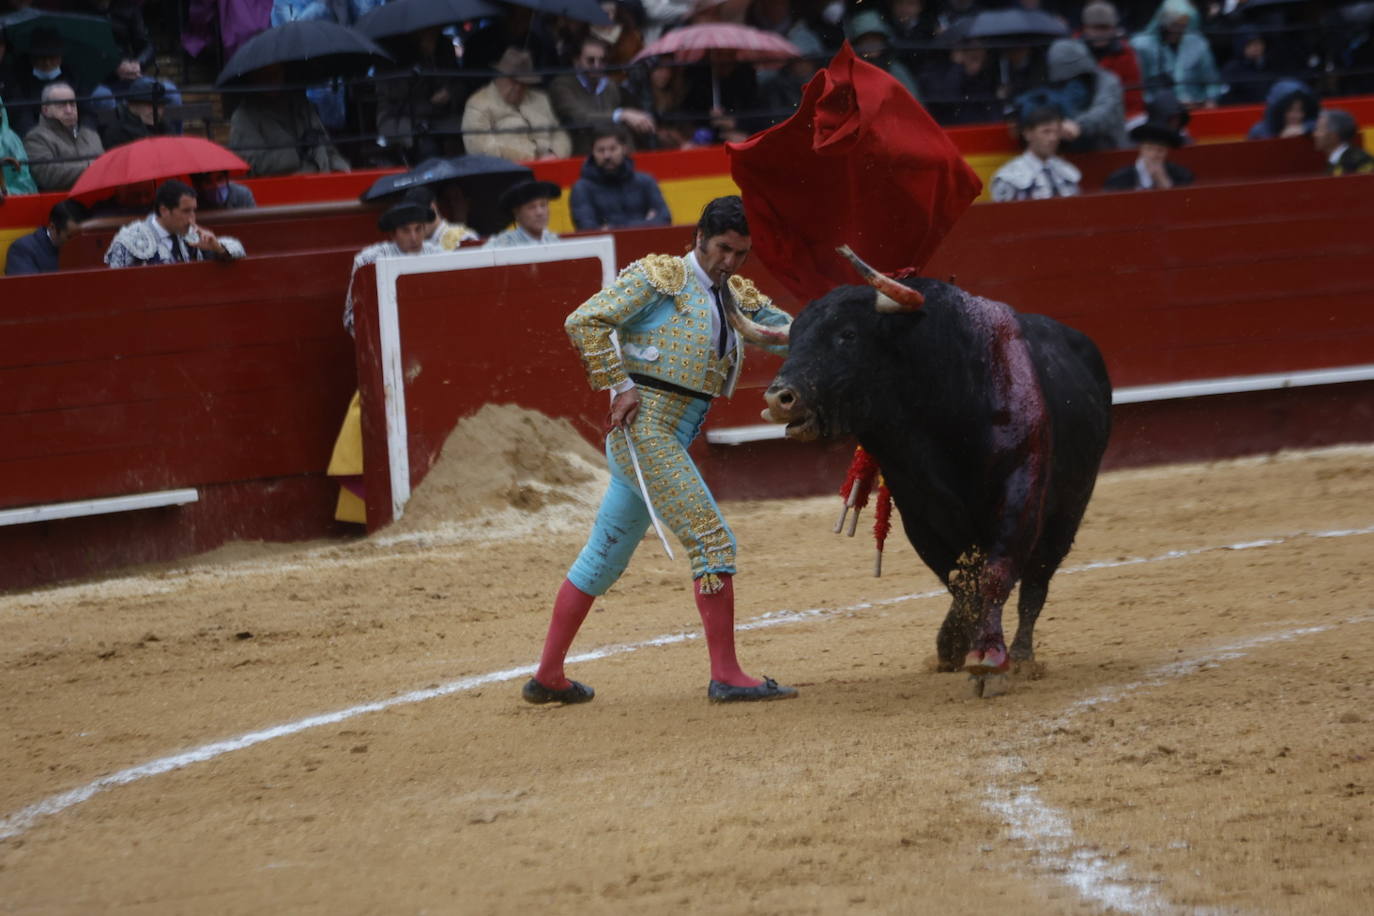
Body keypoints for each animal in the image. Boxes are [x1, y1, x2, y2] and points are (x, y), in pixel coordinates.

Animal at [736, 280, 1110, 681]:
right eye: (793, 339)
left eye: (848, 335)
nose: (779, 399)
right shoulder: (918, 512)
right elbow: (958, 580)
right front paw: (951, 647)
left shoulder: (1020, 495)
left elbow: (995, 574)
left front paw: (987, 656)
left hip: (1069, 510)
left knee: (1037, 581)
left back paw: (1024, 658)